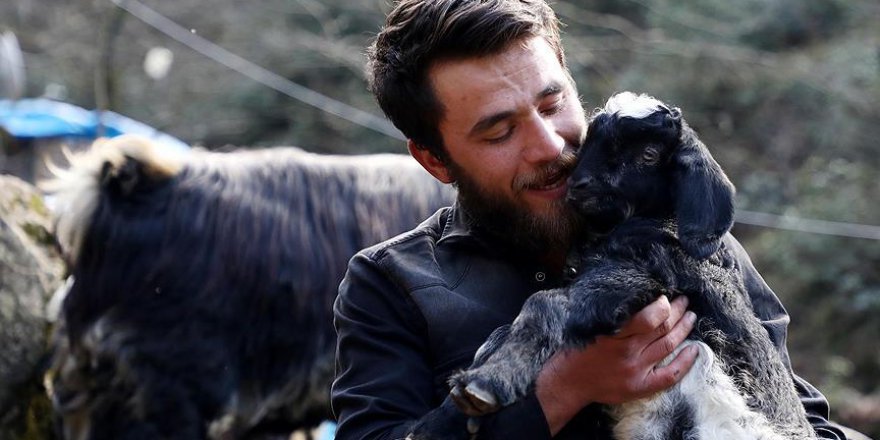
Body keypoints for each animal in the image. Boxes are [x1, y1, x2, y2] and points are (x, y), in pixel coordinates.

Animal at [440, 93, 820, 440]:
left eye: (648, 155)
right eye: (588, 143)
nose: (579, 185)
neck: (652, 223)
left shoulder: (643, 276)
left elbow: (544, 302)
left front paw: (487, 382)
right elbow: (508, 326)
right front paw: (459, 405)